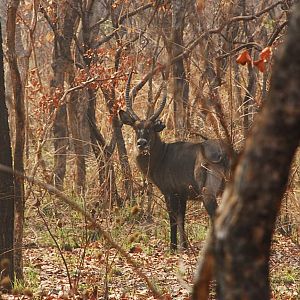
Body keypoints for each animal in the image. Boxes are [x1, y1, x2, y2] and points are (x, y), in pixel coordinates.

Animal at [118, 72, 233, 251]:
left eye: (150, 128)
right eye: (136, 128)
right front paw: (184, 246)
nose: (141, 143)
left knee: (215, 216)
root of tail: (224, 152)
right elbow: (181, 219)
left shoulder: (170, 192)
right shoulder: (182, 194)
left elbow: (172, 218)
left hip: (207, 192)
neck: (162, 156)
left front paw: (172, 247)